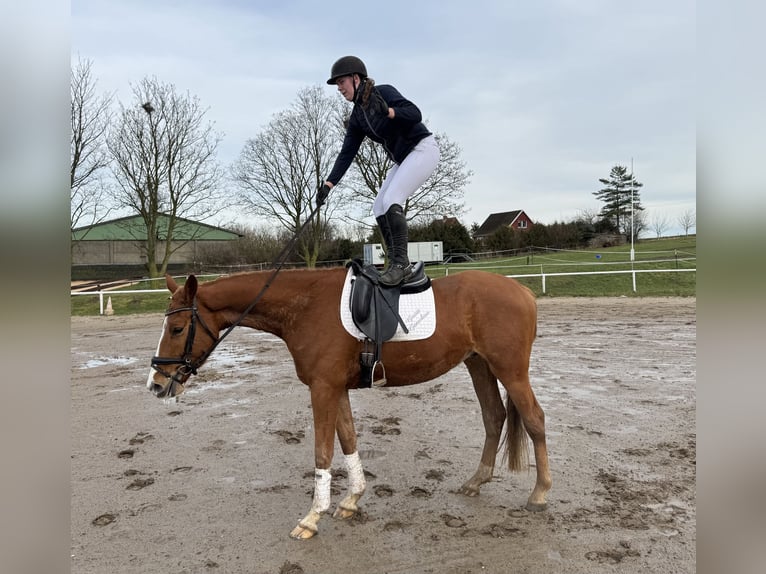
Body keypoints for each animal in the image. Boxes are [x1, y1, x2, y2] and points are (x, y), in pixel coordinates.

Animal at [146, 268, 552, 540]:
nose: (156, 384)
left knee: (534, 419)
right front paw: (351, 500)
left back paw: (540, 493)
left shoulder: (323, 389)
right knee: (494, 416)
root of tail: (521, 290)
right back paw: (476, 481)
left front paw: (312, 518)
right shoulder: (336, 389)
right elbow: (348, 439)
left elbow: (323, 452)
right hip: (479, 364)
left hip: (510, 370)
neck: (306, 307)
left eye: (177, 329)